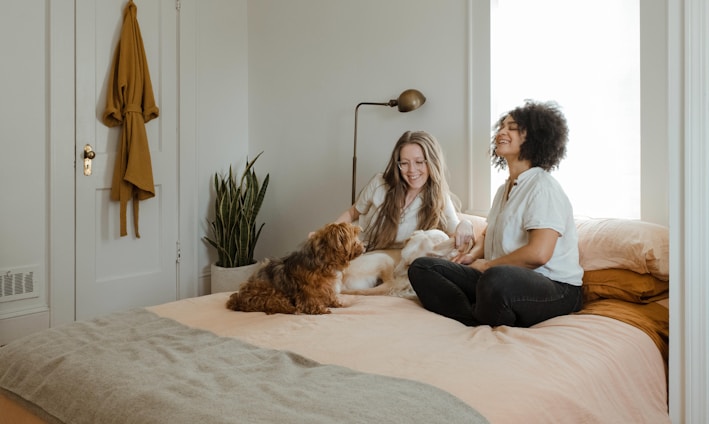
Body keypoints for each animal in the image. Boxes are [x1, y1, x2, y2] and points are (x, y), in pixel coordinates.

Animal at [225, 222, 366, 314]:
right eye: (354, 237)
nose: (364, 245)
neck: (325, 262)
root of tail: (238, 299)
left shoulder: (327, 287)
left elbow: (330, 295)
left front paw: (336, 303)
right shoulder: (307, 289)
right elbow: (310, 299)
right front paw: (319, 309)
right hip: (269, 293)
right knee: (274, 303)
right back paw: (291, 308)